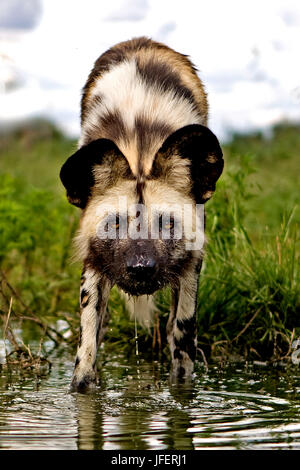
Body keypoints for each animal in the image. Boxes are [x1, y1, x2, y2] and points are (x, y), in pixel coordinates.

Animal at [59, 36, 223, 392]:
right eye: (114, 224)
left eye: (168, 224)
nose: (140, 269)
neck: (139, 148)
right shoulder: (93, 266)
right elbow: (86, 358)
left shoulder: (191, 266)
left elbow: (182, 347)